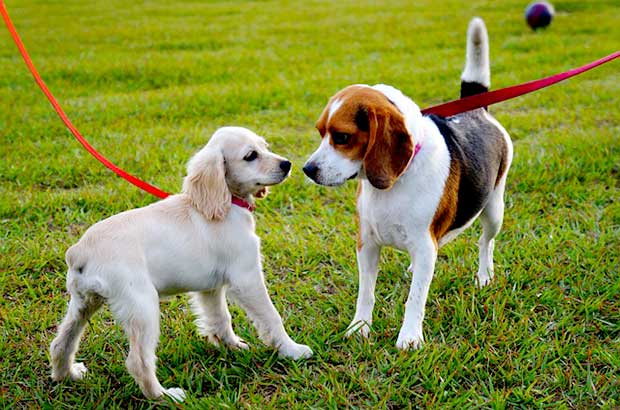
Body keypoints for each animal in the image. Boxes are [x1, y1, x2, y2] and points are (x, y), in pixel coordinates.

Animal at [50, 127, 312, 400]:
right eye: (251, 155)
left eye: (265, 146)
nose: (287, 164)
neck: (226, 204)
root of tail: (79, 251)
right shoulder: (247, 278)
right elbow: (272, 317)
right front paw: (292, 350)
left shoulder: (211, 288)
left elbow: (220, 318)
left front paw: (231, 346)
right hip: (142, 307)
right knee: (138, 361)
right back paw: (165, 396)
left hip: (83, 303)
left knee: (61, 343)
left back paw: (67, 375)